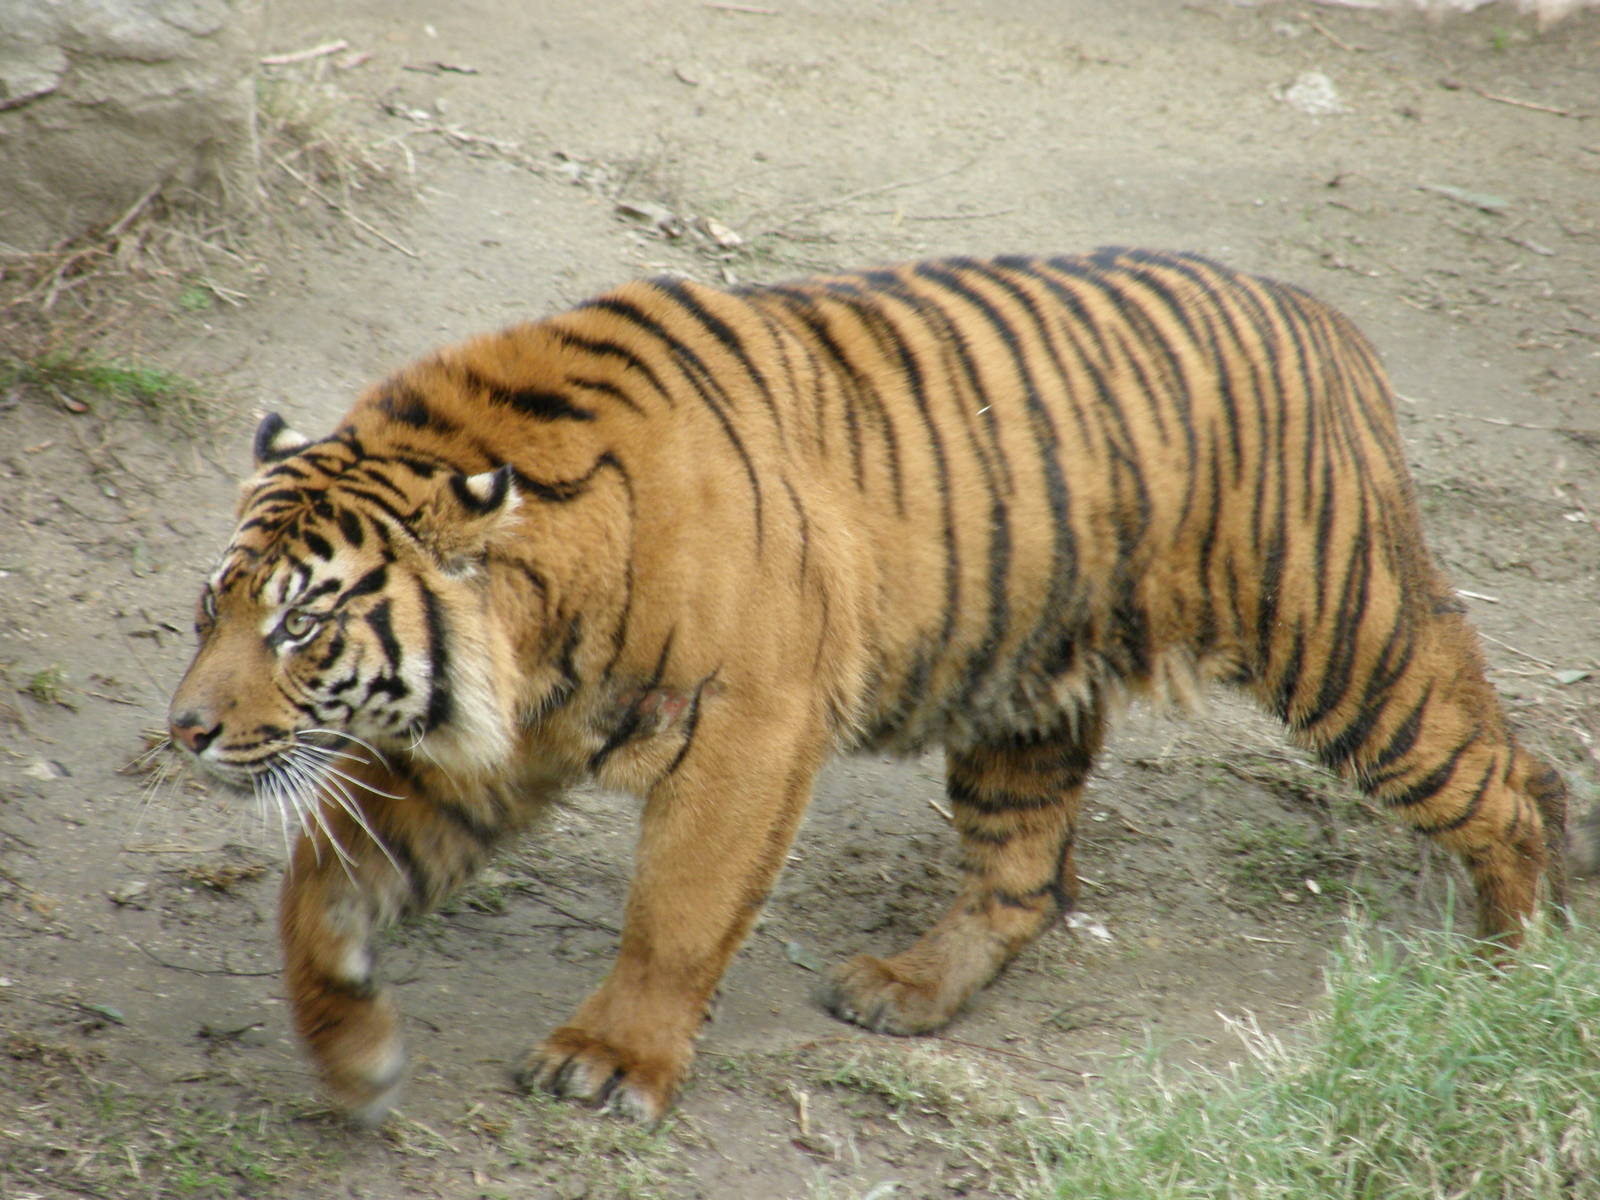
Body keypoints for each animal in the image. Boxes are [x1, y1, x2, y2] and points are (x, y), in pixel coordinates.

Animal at [168, 247, 1570, 1127]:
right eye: (211, 610)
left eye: (299, 628)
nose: (183, 731)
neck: (535, 625)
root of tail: (1320, 317)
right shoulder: (492, 748)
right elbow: (318, 890)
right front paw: (354, 1061)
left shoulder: (746, 725)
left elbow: (677, 910)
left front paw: (610, 1063)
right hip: (1024, 697)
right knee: (1024, 875)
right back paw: (908, 989)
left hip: (1344, 646)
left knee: (1513, 779)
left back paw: (1511, 972)